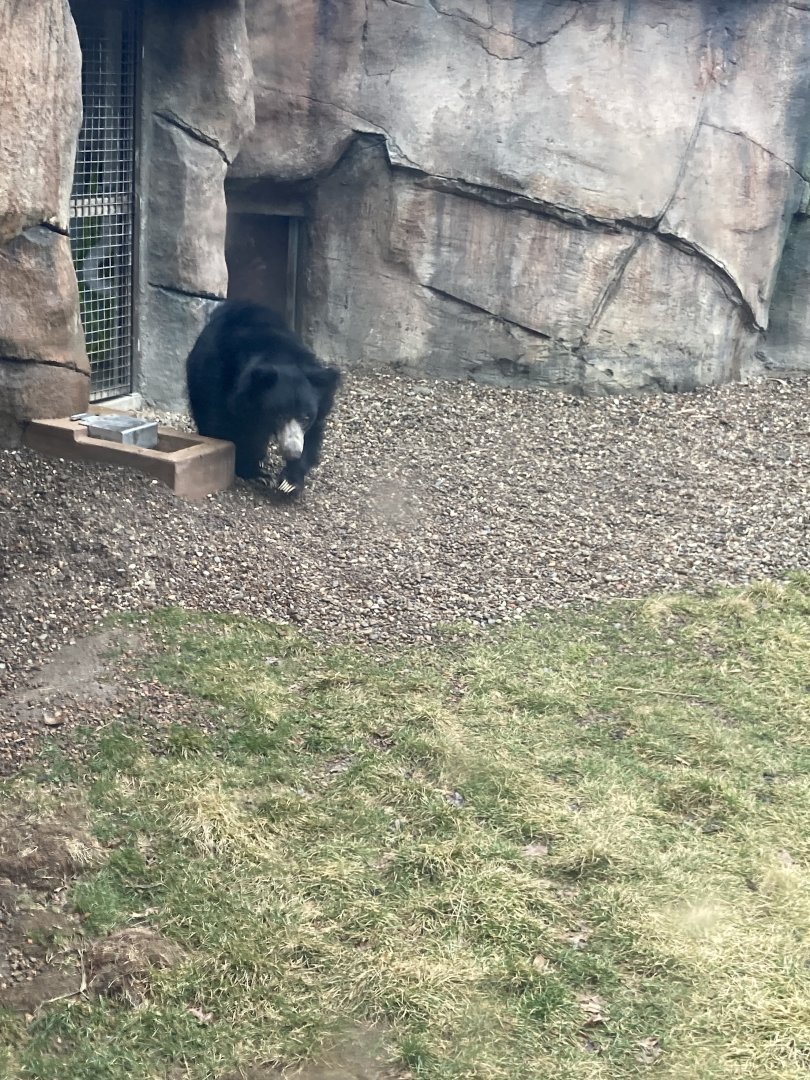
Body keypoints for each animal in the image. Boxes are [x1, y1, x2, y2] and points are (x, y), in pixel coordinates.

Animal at [185, 300, 342, 495]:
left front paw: (289, 482)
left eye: (305, 418)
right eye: (280, 416)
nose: (292, 452)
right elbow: (222, 422)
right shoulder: (221, 380)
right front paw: (255, 472)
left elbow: (313, 434)